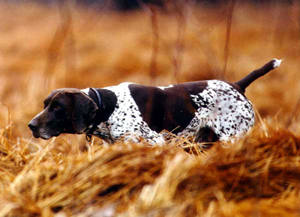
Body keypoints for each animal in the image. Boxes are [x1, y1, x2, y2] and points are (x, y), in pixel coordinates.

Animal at [28, 58, 282, 145]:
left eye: (57, 107)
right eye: (45, 105)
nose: (31, 126)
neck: (108, 108)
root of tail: (237, 85)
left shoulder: (155, 142)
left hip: (231, 138)